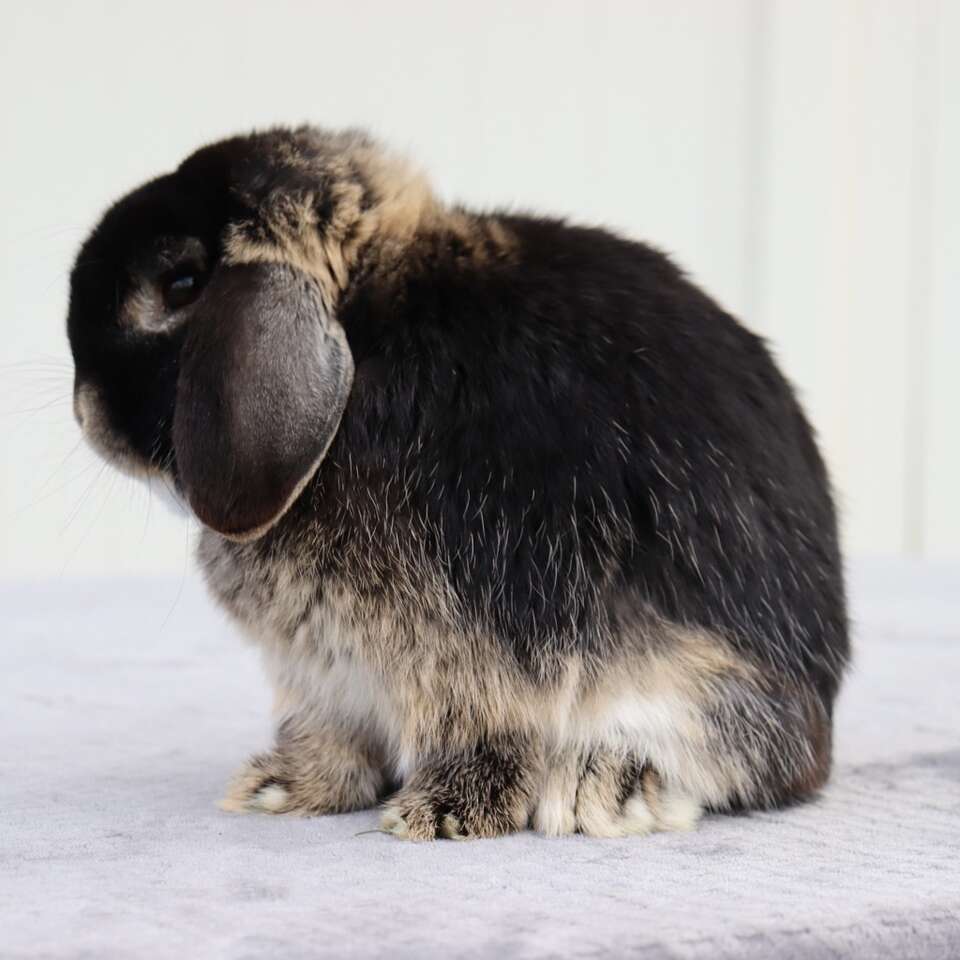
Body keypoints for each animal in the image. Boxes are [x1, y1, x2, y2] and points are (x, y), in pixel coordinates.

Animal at [67, 127, 848, 840]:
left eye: (180, 285)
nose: (84, 410)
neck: (365, 332)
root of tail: (823, 703)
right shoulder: (324, 675)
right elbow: (330, 735)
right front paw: (281, 789)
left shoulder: (464, 650)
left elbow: (480, 731)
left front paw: (440, 813)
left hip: (686, 678)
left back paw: (602, 785)